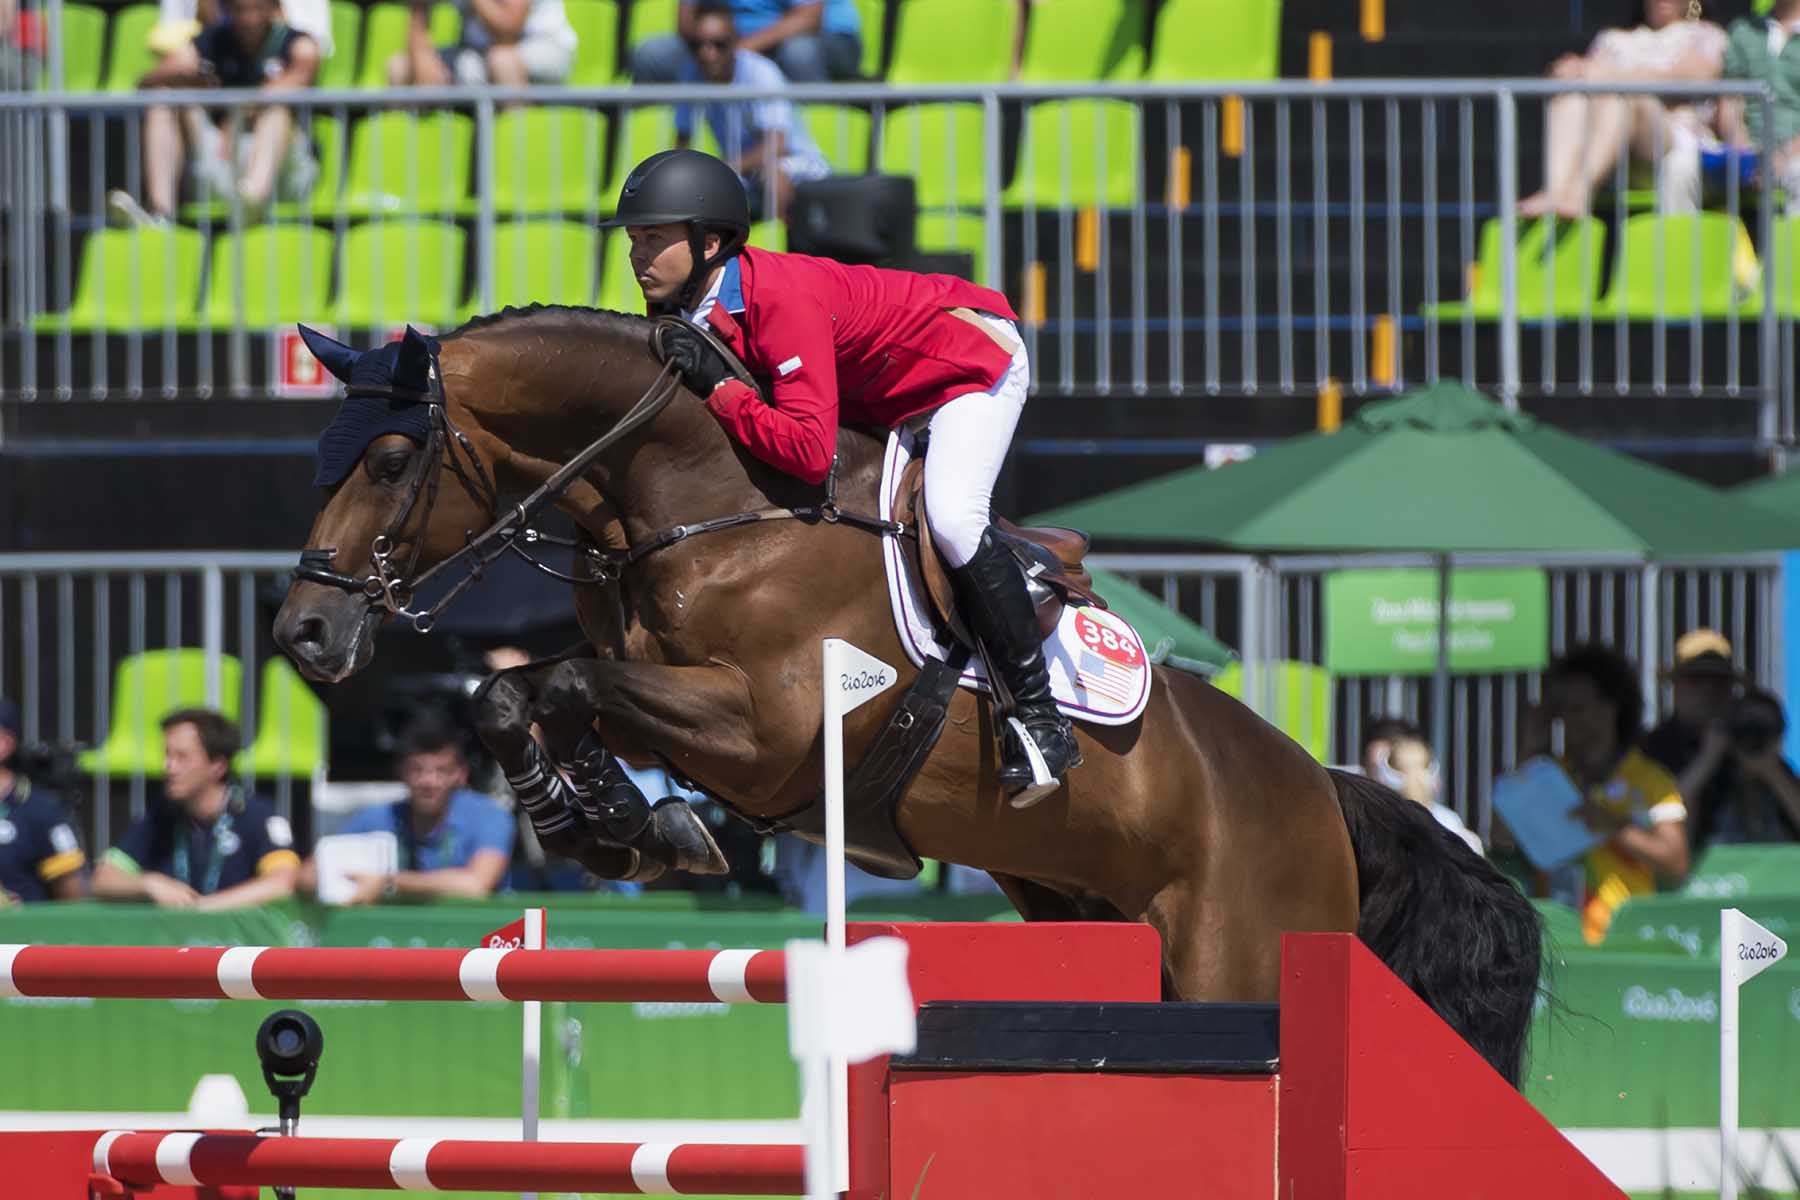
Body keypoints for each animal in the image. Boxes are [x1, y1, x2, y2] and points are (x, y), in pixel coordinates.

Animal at [273, 307, 1540, 1086]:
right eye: (321, 460)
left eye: (390, 461)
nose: (304, 634)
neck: (701, 502)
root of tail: (1320, 786)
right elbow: (529, 694)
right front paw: (616, 824)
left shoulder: (772, 731)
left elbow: (563, 683)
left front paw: (624, 826)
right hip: (1091, 913)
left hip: (1243, 953)